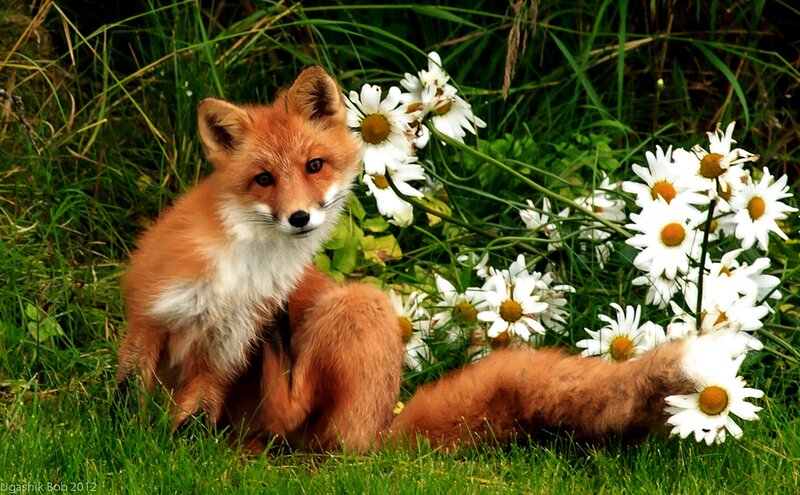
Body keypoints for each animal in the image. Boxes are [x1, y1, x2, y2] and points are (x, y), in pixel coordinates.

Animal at [116, 66, 362, 428]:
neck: (242, 268)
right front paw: (120, 430)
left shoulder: (227, 348)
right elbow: (129, 394)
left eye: (314, 165)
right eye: (264, 179)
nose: (299, 217)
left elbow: (195, 422)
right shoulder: (150, 316)